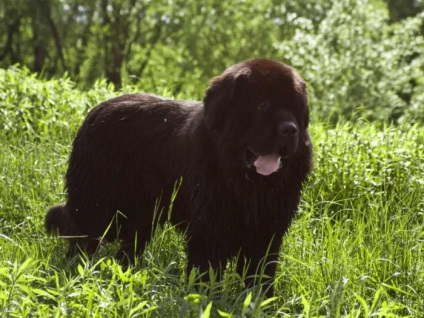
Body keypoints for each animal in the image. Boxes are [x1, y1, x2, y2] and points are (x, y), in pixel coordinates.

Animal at [46, 58, 314, 294]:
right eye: (262, 105)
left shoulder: (268, 232)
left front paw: (259, 301)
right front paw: (204, 300)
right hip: (96, 204)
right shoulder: (209, 230)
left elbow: (260, 274)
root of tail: (95, 112)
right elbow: (207, 271)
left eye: (294, 108)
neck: (246, 182)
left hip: (141, 215)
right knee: (82, 241)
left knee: (128, 248)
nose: (290, 129)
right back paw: (75, 274)